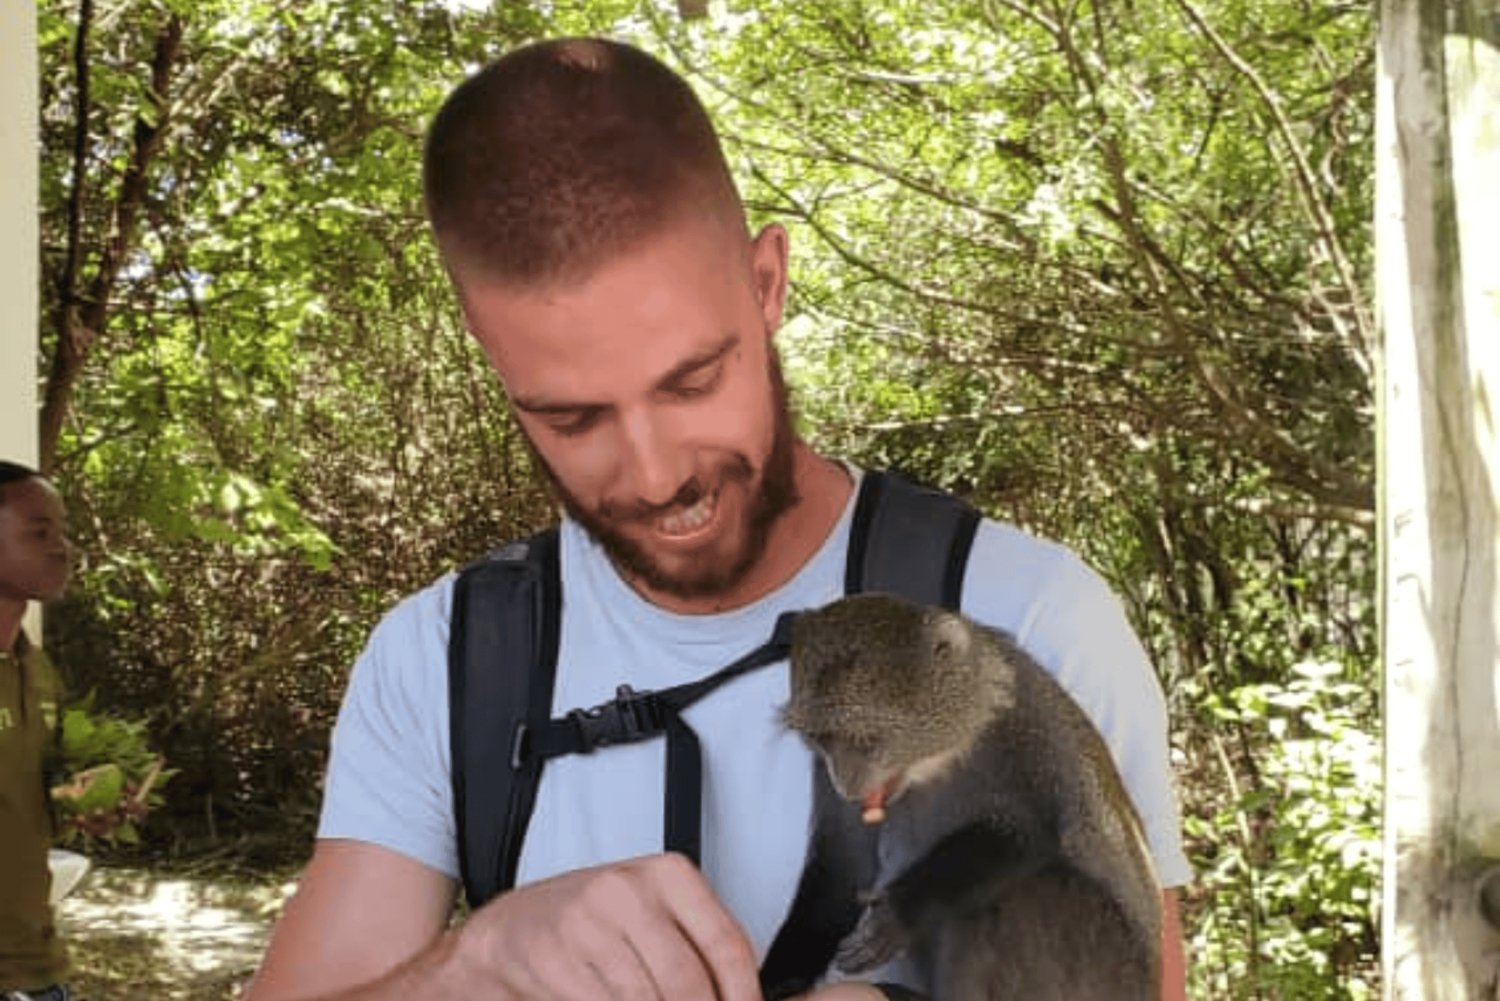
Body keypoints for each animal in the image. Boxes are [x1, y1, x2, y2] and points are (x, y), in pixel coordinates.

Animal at [780, 592, 1163, 1001]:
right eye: (822, 739)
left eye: (865, 740)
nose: (846, 783)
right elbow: (843, 870)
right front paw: (777, 979)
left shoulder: (1023, 727)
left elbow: (1026, 833)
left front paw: (899, 910)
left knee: (1026, 893)